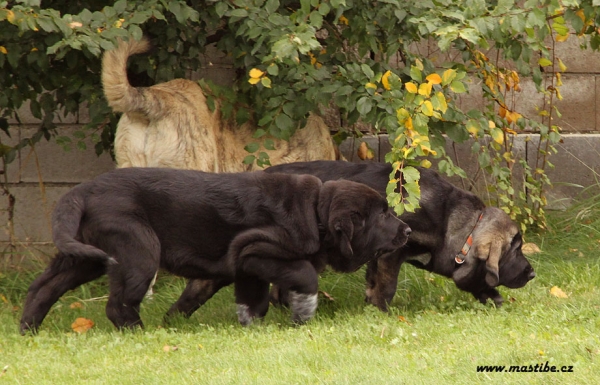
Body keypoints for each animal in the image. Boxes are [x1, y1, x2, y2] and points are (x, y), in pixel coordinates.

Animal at [21, 166, 410, 332]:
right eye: (383, 215)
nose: (407, 230)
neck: (317, 212)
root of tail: (82, 190)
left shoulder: (246, 268)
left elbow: (250, 300)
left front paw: (250, 325)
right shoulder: (255, 250)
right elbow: (304, 273)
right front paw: (303, 311)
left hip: (86, 255)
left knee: (43, 288)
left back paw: (29, 328)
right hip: (139, 249)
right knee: (117, 304)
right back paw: (140, 332)